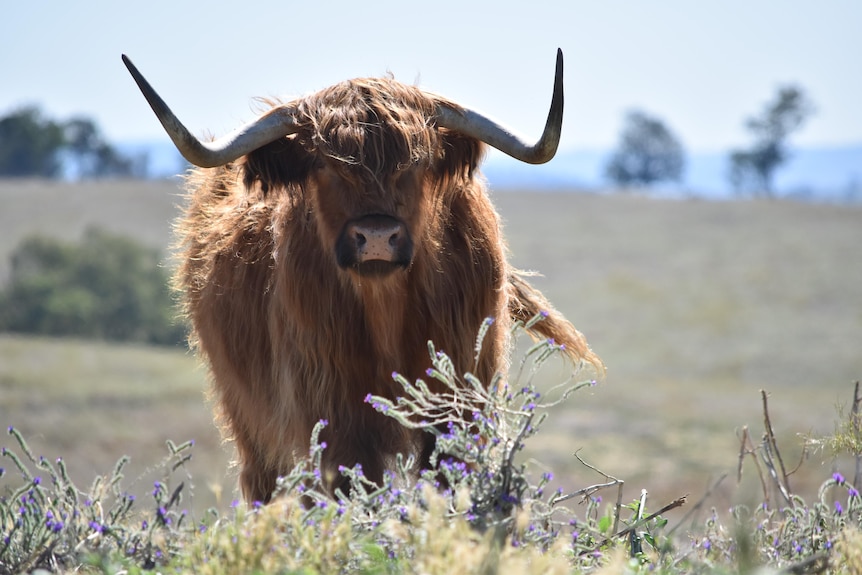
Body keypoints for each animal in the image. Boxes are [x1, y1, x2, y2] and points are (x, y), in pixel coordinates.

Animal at [125, 50, 604, 504]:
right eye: (326, 165)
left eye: (416, 163)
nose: (376, 236)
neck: (386, 308)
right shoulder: (333, 415)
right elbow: (354, 491)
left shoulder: (461, 400)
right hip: (249, 415)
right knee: (270, 484)